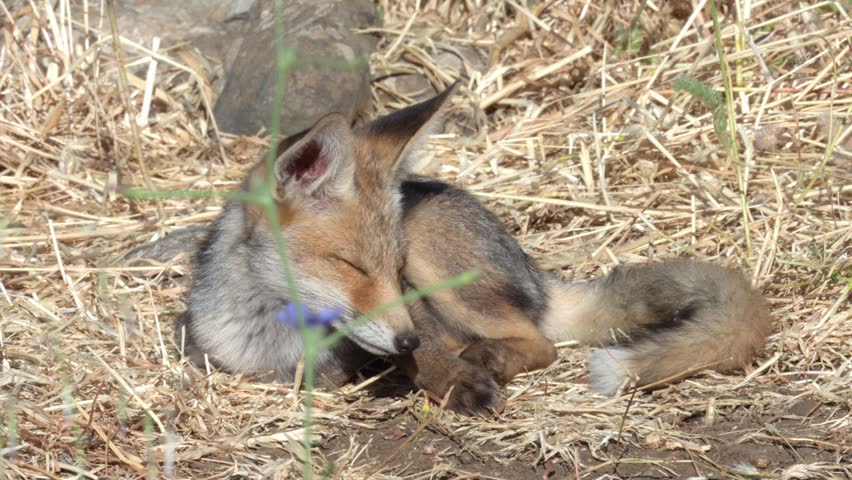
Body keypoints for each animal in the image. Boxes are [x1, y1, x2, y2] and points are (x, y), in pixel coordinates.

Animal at [176, 83, 773, 413]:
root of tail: (536, 272)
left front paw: (450, 377)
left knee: (541, 343)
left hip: (438, 258)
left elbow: (428, 358)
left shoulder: (415, 304)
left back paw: (488, 357)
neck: (282, 337)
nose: (407, 339)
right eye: (351, 266)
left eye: (392, 269)